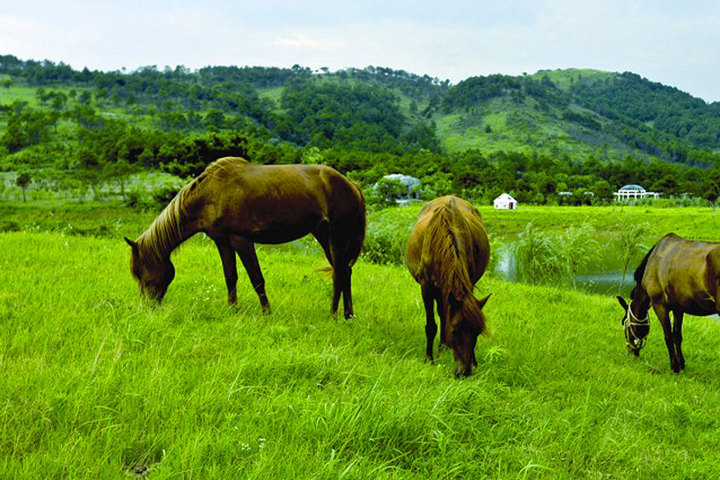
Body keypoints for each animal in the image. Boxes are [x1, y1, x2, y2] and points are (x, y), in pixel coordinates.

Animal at [123, 156, 366, 318]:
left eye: (142, 273)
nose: (148, 307)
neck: (211, 193)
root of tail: (351, 185)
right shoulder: (222, 242)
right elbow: (230, 277)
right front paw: (233, 309)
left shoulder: (242, 240)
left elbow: (256, 278)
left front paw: (267, 312)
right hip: (324, 235)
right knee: (345, 271)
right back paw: (348, 315)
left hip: (337, 235)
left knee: (339, 274)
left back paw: (333, 315)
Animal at [404, 194, 490, 376]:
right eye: (455, 330)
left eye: (477, 332)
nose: (464, 372)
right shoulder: (427, 288)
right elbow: (431, 326)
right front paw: (429, 359)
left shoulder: (467, 283)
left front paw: (474, 361)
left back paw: (443, 347)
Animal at [616, 234, 720, 374]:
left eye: (623, 323)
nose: (632, 352)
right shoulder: (678, 308)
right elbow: (677, 336)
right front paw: (681, 364)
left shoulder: (660, 306)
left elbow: (668, 337)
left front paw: (674, 366)